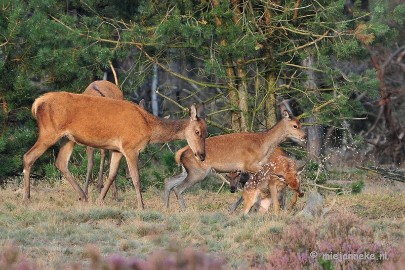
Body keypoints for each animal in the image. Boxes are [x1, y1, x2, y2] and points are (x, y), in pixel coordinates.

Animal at [22, 91, 207, 209]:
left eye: (206, 132)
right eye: (197, 131)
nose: (202, 155)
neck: (148, 127)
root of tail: (37, 104)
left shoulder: (117, 149)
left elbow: (111, 174)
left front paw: (100, 200)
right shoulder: (130, 146)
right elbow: (136, 178)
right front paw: (141, 206)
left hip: (68, 138)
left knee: (60, 162)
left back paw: (84, 196)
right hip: (49, 132)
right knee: (28, 156)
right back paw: (27, 198)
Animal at [163, 110, 304, 210]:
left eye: (300, 123)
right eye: (295, 125)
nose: (304, 136)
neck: (263, 146)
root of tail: (181, 152)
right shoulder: (250, 164)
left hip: (188, 171)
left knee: (169, 181)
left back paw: (166, 208)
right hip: (198, 172)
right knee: (178, 188)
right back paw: (184, 210)